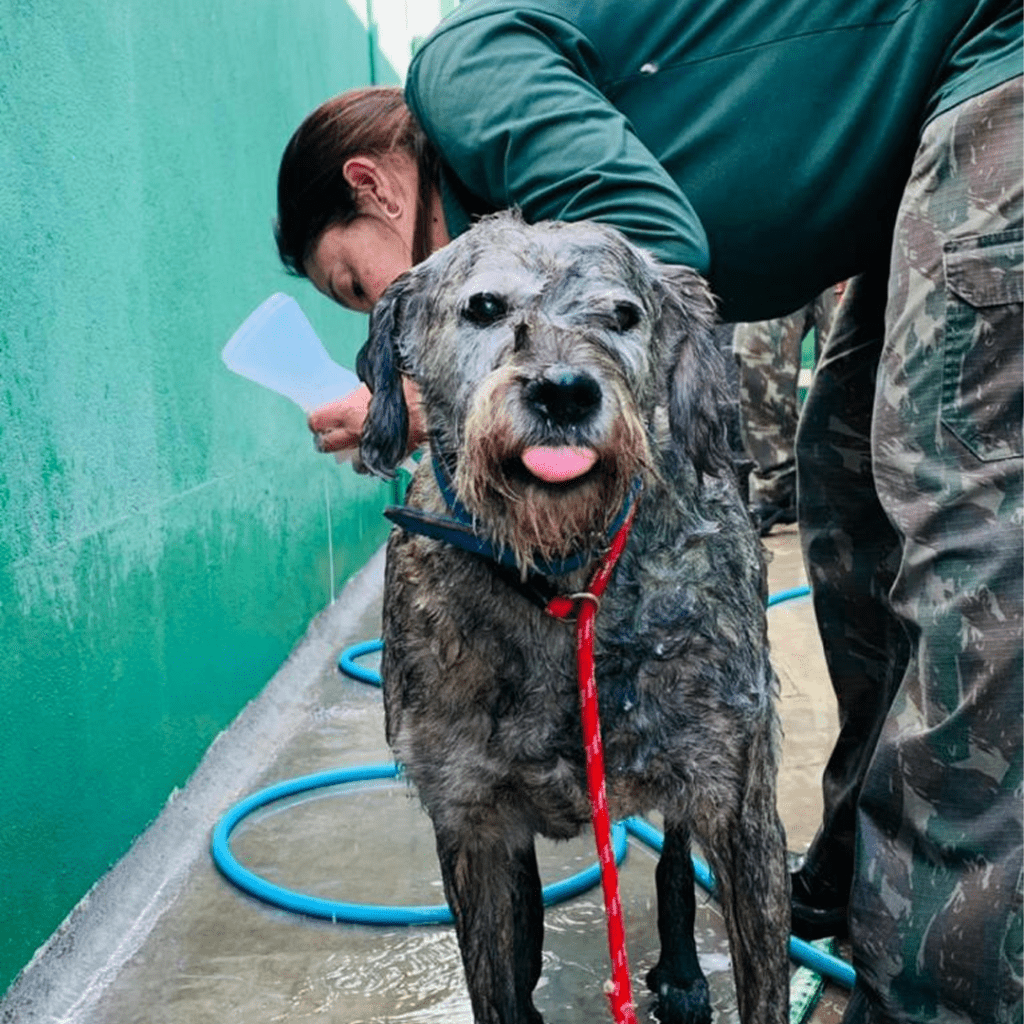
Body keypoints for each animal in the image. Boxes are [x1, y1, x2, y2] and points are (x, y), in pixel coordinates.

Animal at [356, 211, 786, 1019]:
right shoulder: (473, 825)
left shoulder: (743, 813)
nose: (563, 392)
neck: (559, 580)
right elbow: (500, 978)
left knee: (674, 855)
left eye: (623, 315)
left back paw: (683, 973)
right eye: (484, 306)